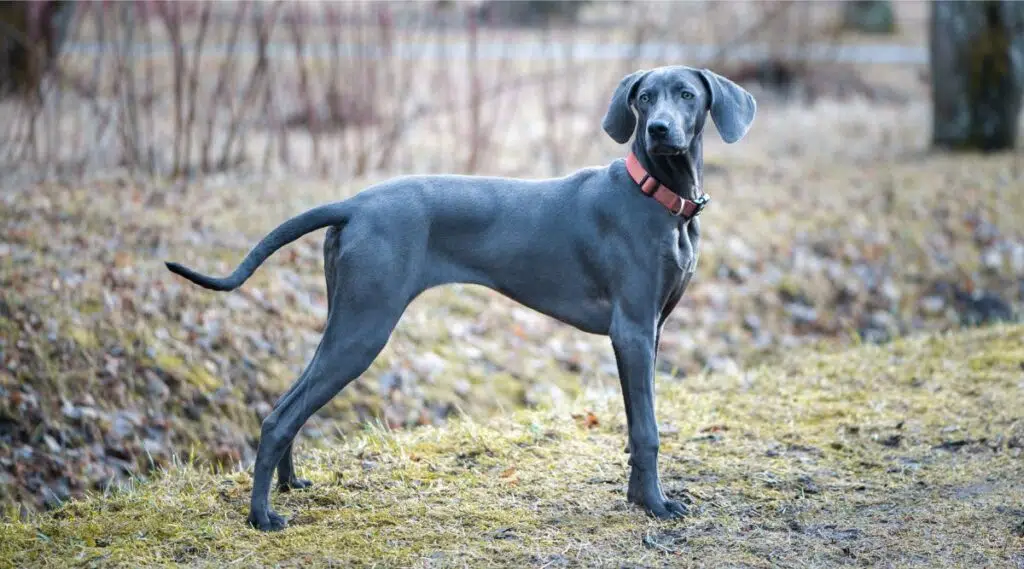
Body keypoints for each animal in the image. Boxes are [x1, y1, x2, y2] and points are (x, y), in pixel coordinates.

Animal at [161, 64, 753, 532]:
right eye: (644, 97)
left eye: (686, 94)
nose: (659, 130)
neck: (657, 197)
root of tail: (354, 202)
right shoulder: (631, 330)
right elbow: (647, 429)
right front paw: (655, 505)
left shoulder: (650, 332)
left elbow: (635, 426)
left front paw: (637, 498)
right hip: (365, 326)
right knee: (281, 416)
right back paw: (261, 516)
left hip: (345, 316)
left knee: (291, 403)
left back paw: (290, 485)